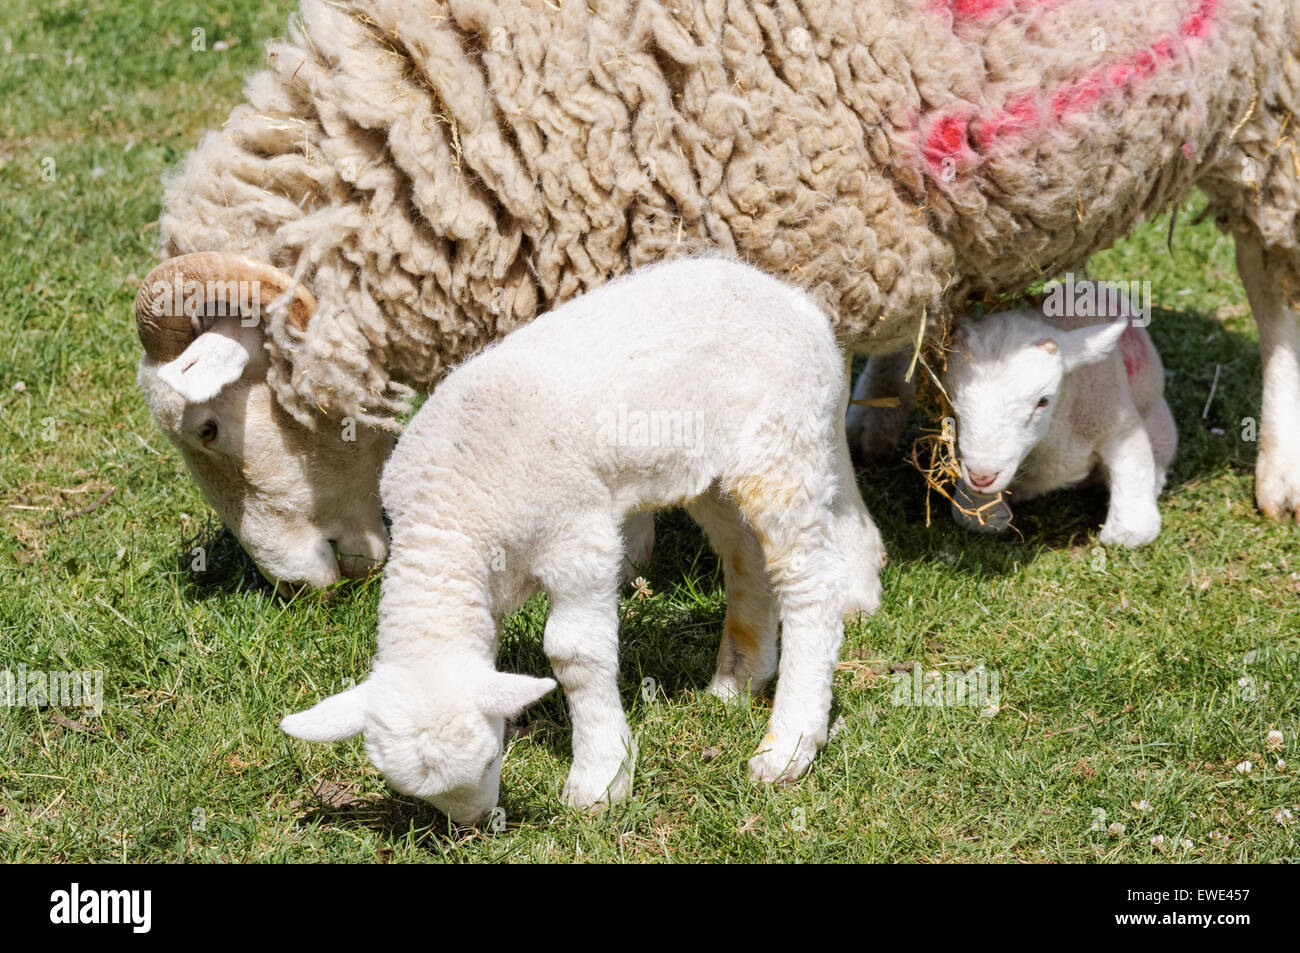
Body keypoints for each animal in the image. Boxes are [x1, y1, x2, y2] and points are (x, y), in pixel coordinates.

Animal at [275, 256, 883, 821]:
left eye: (489, 760)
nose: (477, 826)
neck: (450, 515)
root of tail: (800, 304)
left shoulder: (580, 539)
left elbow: (573, 653)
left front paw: (600, 777)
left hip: (785, 445)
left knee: (811, 582)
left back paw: (790, 744)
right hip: (714, 474)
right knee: (746, 559)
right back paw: (737, 682)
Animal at [935, 304, 1180, 543]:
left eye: (1043, 401)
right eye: (951, 397)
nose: (982, 477)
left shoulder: (1117, 422)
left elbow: (1132, 533)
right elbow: (973, 520)